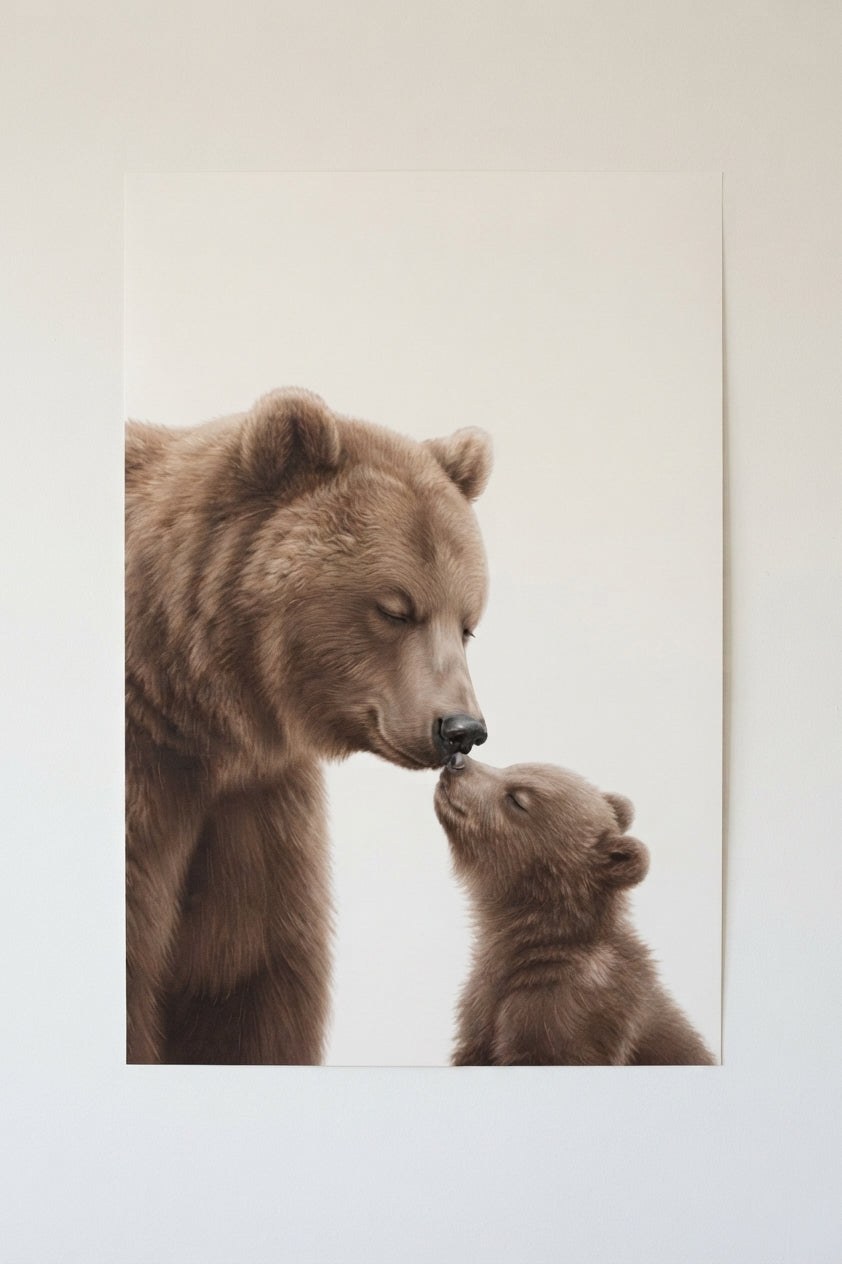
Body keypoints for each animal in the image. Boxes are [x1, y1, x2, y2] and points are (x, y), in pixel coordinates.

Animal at [125, 387, 492, 1064]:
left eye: (468, 622)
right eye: (395, 609)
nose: (461, 729)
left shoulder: (254, 805)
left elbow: (249, 979)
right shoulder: (155, 778)